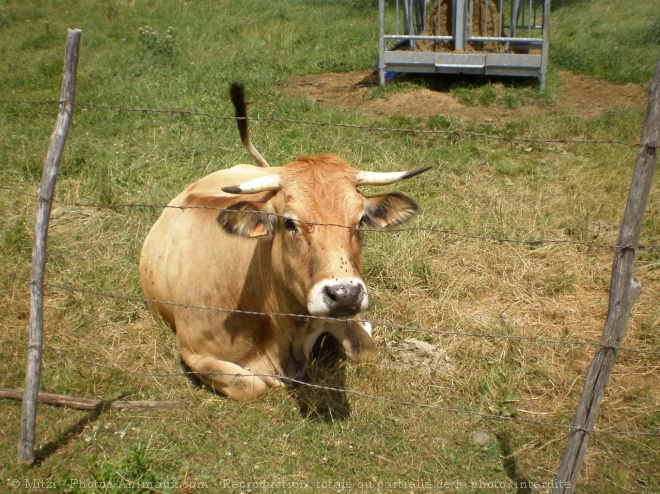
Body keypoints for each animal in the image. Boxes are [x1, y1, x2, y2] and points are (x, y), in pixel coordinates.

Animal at [137, 85, 430, 402]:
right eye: (289, 223)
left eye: (361, 220)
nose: (345, 294)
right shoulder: (194, 353)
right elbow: (250, 385)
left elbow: (365, 349)